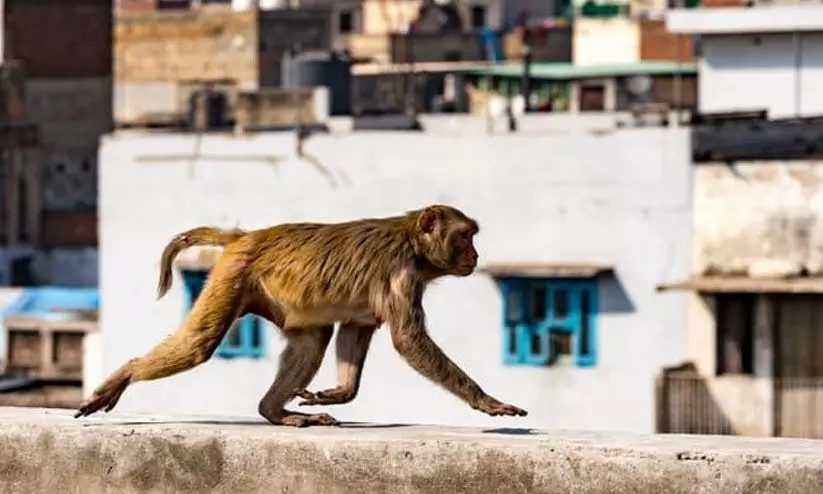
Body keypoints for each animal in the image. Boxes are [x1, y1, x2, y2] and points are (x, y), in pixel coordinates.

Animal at [74, 205, 528, 427]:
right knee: (198, 345)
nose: (476, 255)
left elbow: (356, 329)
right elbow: (408, 339)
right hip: (234, 274)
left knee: (312, 340)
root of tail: (245, 236)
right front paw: (486, 401)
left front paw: (338, 393)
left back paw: (274, 412)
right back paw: (127, 373)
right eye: (465, 236)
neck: (413, 244)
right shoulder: (401, 273)